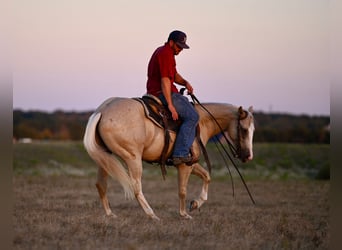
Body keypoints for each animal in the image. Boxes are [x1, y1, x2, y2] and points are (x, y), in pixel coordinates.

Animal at [83, 96, 254, 220]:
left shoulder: (191, 163)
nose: (248, 156)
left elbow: (207, 176)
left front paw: (196, 204)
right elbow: (182, 190)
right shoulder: (184, 165)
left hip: (105, 158)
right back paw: (152, 214)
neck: (202, 122)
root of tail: (102, 110)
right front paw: (184, 214)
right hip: (132, 158)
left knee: (101, 185)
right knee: (136, 187)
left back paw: (110, 214)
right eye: (244, 130)